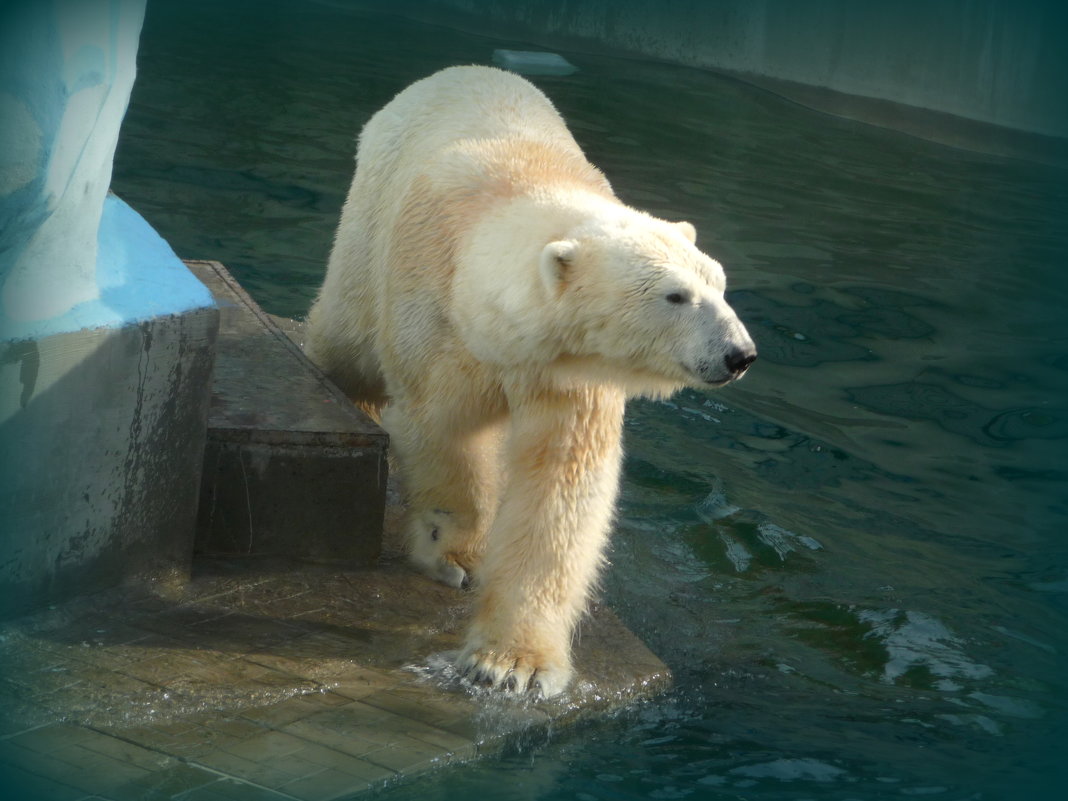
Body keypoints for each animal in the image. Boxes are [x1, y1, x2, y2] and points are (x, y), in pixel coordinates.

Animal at [307, 65, 760, 700]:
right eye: (676, 295)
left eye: (719, 284)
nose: (739, 355)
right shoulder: (441, 319)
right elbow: (443, 431)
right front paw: (455, 556)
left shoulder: (567, 372)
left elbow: (561, 488)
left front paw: (513, 665)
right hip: (368, 232)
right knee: (347, 338)